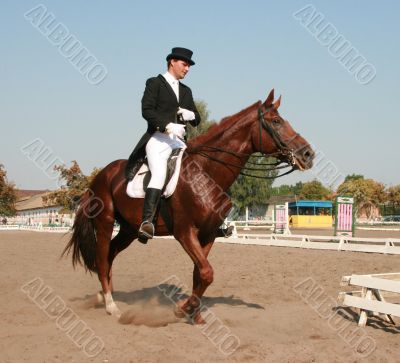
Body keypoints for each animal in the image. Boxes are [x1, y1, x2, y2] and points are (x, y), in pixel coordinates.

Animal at [63, 89, 312, 322]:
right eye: (276, 121)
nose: (308, 154)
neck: (207, 172)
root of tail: (99, 176)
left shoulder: (208, 234)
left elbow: (200, 273)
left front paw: (194, 313)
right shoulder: (185, 232)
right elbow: (207, 272)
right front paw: (183, 308)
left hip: (129, 229)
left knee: (111, 254)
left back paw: (104, 295)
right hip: (105, 222)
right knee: (102, 258)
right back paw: (111, 305)